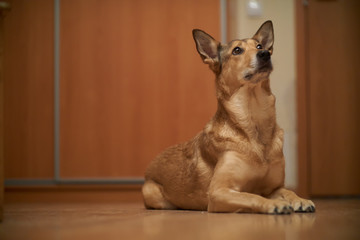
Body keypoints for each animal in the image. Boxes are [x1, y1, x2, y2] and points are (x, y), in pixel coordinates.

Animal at [141, 20, 316, 214]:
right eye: (237, 50)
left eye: (259, 46)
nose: (264, 54)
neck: (253, 119)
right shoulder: (219, 192)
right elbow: (251, 196)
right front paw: (274, 204)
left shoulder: (274, 188)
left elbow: (287, 190)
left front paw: (300, 200)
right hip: (155, 196)